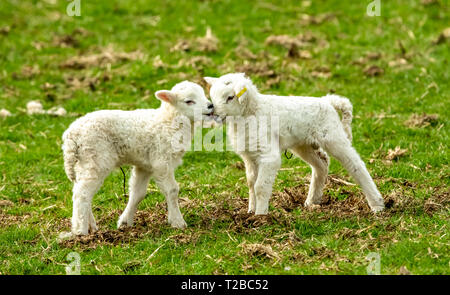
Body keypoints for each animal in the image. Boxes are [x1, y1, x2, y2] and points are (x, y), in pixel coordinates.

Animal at [62, 81, 214, 236]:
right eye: (189, 101)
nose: (210, 106)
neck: (169, 122)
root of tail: (71, 136)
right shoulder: (161, 160)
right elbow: (172, 190)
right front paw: (177, 222)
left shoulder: (145, 165)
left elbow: (137, 193)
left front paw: (125, 222)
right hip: (95, 158)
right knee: (82, 194)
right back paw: (81, 231)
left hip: (84, 161)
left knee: (79, 189)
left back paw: (90, 226)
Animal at [206, 73, 384, 216]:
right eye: (212, 97)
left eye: (230, 97)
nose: (214, 112)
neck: (251, 113)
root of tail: (327, 101)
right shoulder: (249, 156)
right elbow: (251, 184)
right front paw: (250, 211)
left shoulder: (268, 155)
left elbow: (260, 187)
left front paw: (260, 216)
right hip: (303, 144)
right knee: (322, 164)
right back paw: (312, 201)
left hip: (332, 136)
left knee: (356, 165)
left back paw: (377, 204)